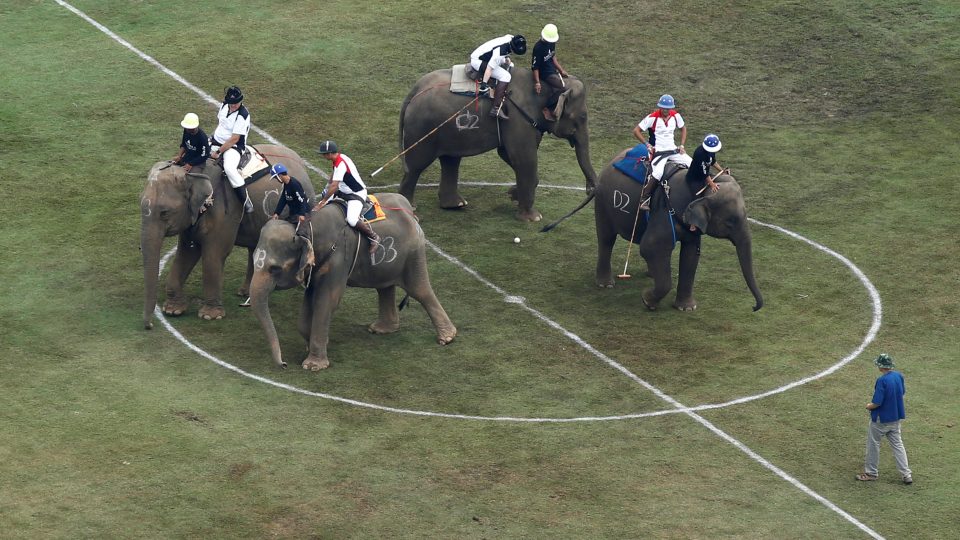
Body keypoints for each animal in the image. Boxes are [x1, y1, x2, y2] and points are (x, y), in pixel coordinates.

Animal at [140, 144, 315, 329]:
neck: (193, 172)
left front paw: (210, 316)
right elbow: (187, 251)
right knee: (255, 248)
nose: (150, 326)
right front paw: (173, 310)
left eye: (164, 213)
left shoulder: (225, 211)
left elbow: (214, 254)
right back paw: (245, 294)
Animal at [249, 193, 457, 371]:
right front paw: (310, 345)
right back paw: (381, 329)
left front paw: (313, 365)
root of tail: (409, 209)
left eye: (274, 269)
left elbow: (327, 300)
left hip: (413, 254)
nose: (283, 364)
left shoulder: (339, 257)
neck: (304, 227)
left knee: (419, 290)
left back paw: (446, 338)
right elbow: (310, 299)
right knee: (384, 287)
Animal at [397, 67, 598, 222]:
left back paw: (456, 205)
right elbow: (523, 158)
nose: (589, 190)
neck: (546, 84)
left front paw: (512, 194)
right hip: (423, 129)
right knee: (416, 167)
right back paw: (411, 212)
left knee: (450, 160)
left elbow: (508, 154)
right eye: (582, 117)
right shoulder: (517, 119)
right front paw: (533, 218)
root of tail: (414, 91)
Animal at [542, 147, 763, 312]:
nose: (754, 307)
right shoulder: (664, 210)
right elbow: (651, 248)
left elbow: (691, 255)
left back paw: (650, 275)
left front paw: (686, 308)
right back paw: (606, 284)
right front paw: (648, 301)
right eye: (730, 221)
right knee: (606, 239)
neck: (697, 186)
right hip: (604, 203)